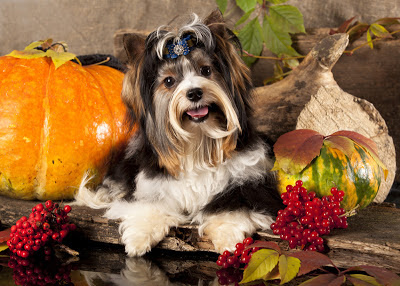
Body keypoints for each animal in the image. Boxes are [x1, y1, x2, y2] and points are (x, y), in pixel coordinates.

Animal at [74, 10, 282, 256]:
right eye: (169, 81)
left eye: (206, 70)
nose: (194, 93)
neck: (198, 141)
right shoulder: (152, 186)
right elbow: (148, 206)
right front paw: (138, 238)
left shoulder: (248, 180)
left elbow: (232, 207)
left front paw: (228, 238)